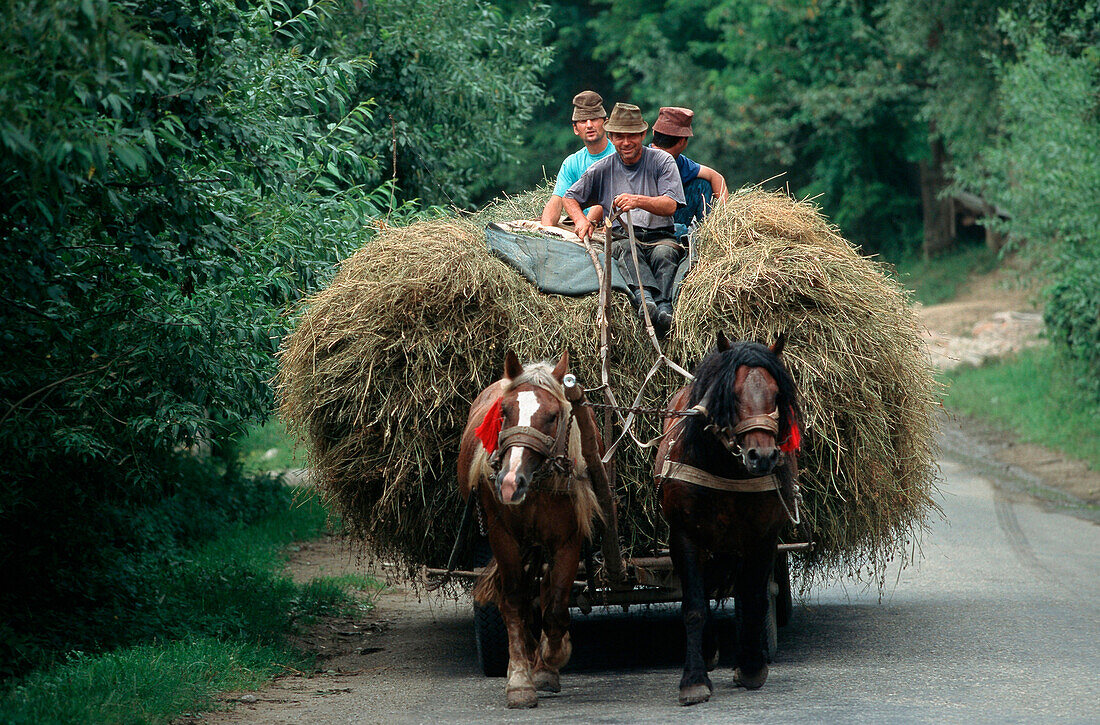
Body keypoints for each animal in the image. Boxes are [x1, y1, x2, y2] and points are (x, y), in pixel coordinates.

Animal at [459, 352, 607, 708]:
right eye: (504, 411)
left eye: (553, 416)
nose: (510, 483)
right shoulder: (503, 538)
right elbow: (514, 601)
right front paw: (520, 679)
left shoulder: (567, 541)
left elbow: (556, 606)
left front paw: (551, 659)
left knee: (545, 591)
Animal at [651, 332, 800, 704]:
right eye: (731, 395)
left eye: (776, 394)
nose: (762, 456)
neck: (726, 470)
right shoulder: (685, 537)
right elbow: (693, 606)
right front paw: (693, 679)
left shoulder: (763, 538)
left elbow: (755, 597)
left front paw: (751, 666)